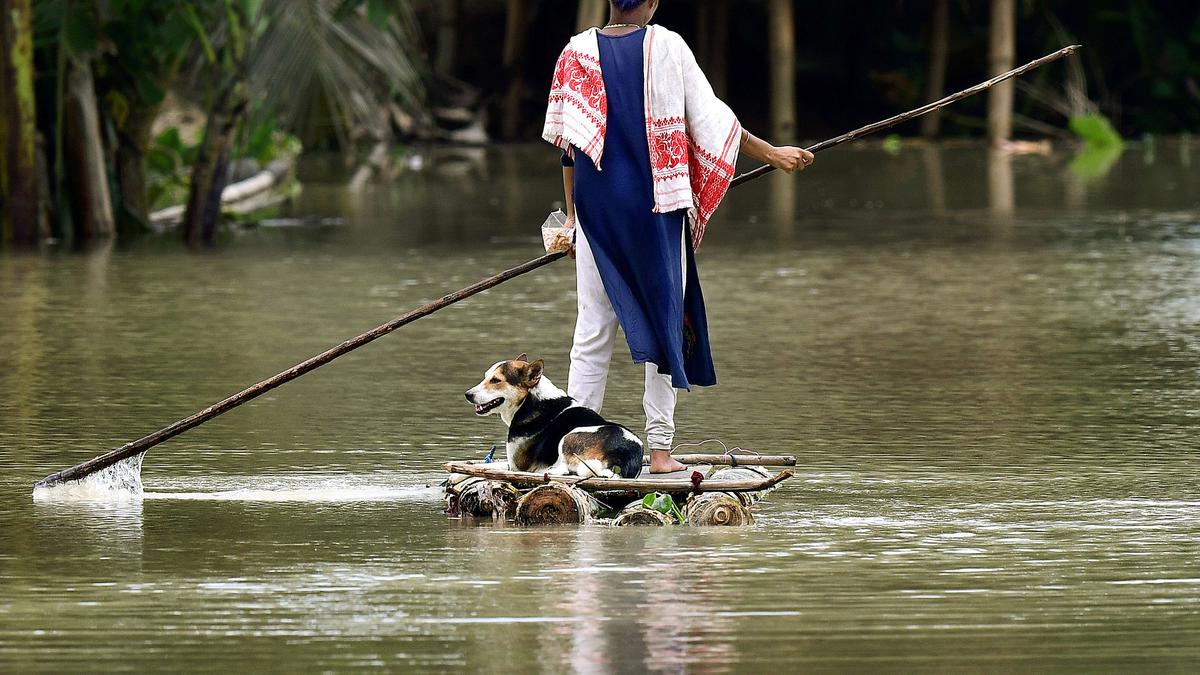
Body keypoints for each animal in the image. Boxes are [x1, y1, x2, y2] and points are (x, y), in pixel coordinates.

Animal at [463, 353, 643, 478]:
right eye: (486, 376)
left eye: (495, 380)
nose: (468, 394)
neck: (529, 402)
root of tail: (626, 453)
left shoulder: (516, 466)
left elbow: (489, 465)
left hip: (569, 437)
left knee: (564, 470)